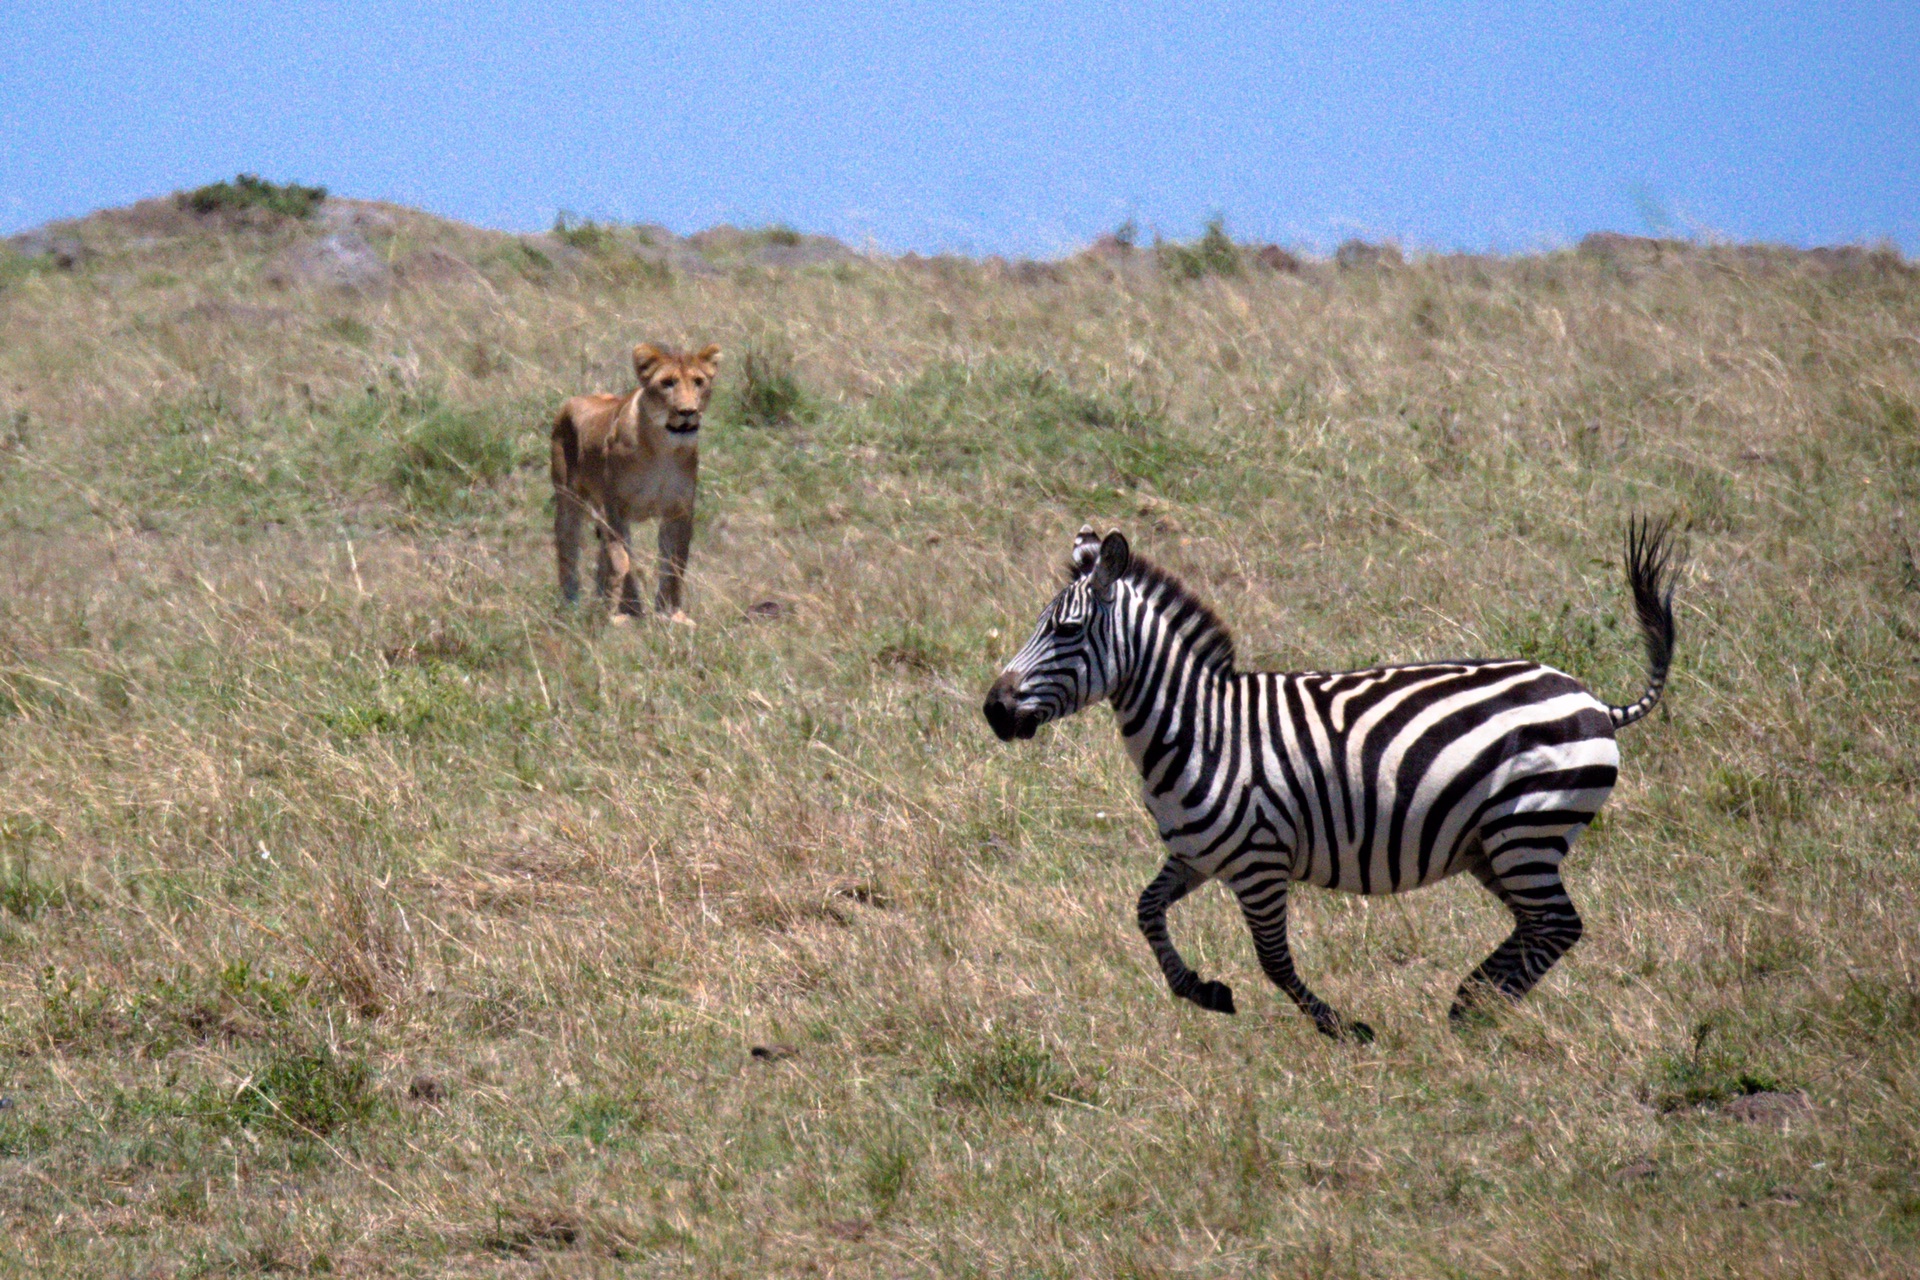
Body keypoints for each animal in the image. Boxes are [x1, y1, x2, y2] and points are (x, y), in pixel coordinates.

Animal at [552, 339, 721, 621]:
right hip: (568, 500)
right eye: (667, 383)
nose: (687, 412)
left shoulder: (679, 511)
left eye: (698, 381)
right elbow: (624, 560)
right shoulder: (617, 509)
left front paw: (671, 614)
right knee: (567, 549)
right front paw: (629, 613)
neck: (663, 449)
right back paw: (571, 606)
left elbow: (674, 563)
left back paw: (601, 599)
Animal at [983, 521, 1674, 1043]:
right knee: (1541, 927)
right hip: (1494, 845)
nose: (993, 710)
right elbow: (1146, 911)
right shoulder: (1197, 854)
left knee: (1557, 924)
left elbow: (1273, 960)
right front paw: (1202, 990)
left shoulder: (1258, 860)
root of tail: (1592, 699)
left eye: (1067, 631)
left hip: (1525, 830)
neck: (1200, 727)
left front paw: (1341, 1027)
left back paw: (1472, 1010)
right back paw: (1473, 1002)